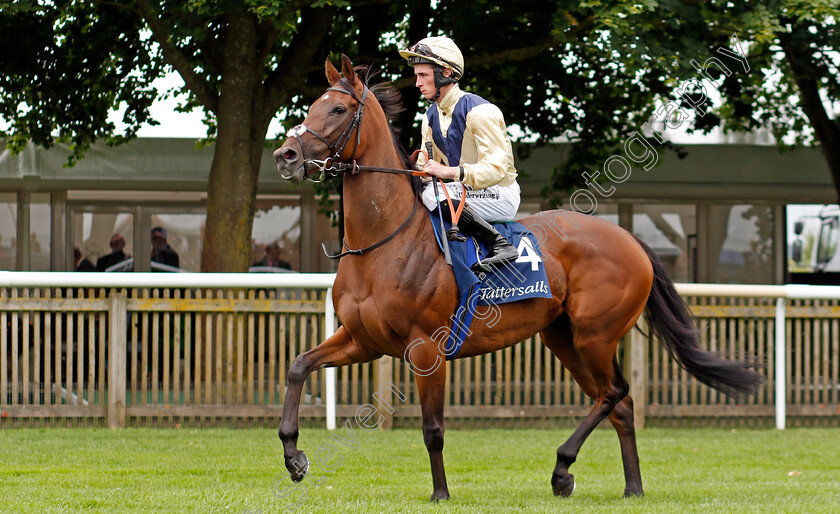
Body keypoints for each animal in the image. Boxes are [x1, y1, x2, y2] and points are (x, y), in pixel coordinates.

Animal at [272, 56, 764, 500]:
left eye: (337, 109)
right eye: (312, 105)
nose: (285, 154)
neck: (382, 243)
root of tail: (629, 239)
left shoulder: (426, 347)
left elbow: (433, 428)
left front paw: (441, 494)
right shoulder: (363, 340)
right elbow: (298, 365)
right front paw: (294, 457)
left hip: (596, 334)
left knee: (615, 392)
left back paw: (563, 469)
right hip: (562, 337)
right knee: (619, 403)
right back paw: (631, 487)